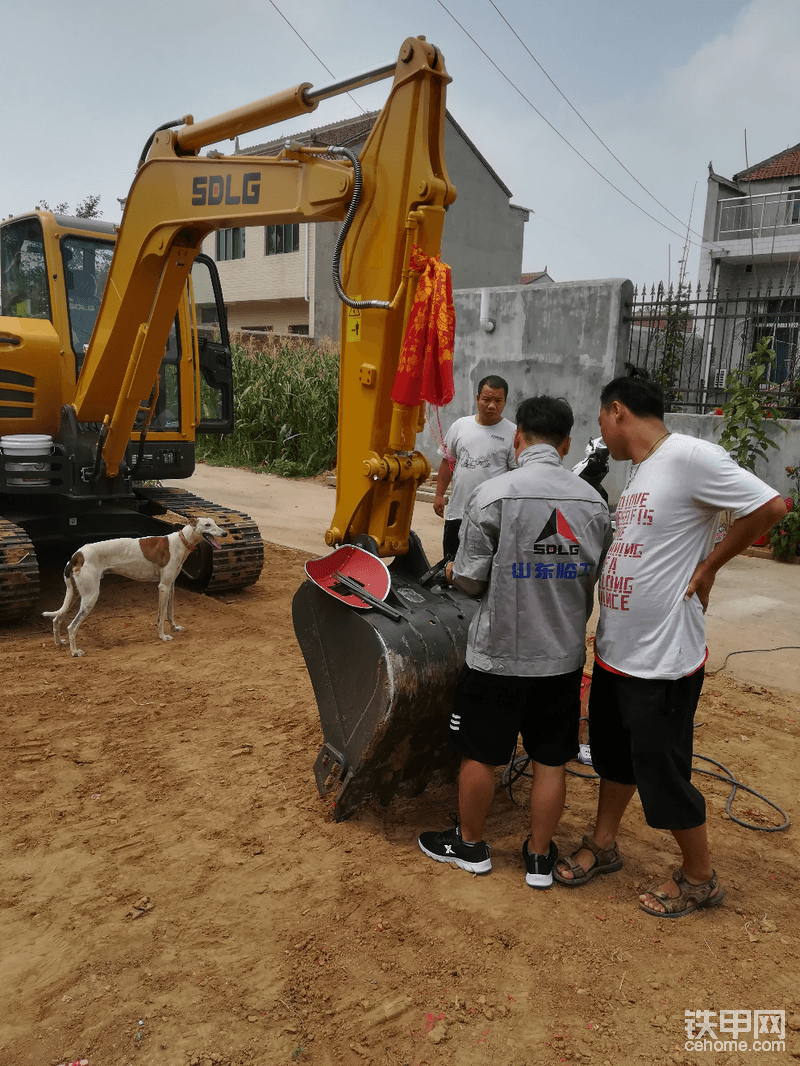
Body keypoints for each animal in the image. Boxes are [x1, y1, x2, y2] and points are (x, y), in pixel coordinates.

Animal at [43, 518, 227, 656]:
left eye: (215, 522)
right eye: (207, 525)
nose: (225, 533)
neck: (181, 541)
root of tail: (78, 554)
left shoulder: (171, 587)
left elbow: (170, 612)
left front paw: (174, 627)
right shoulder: (163, 587)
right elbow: (161, 616)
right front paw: (163, 636)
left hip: (75, 594)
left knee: (57, 619)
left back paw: (59, 642)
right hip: (90, 597)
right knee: (71, 626)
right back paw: (75, 652)